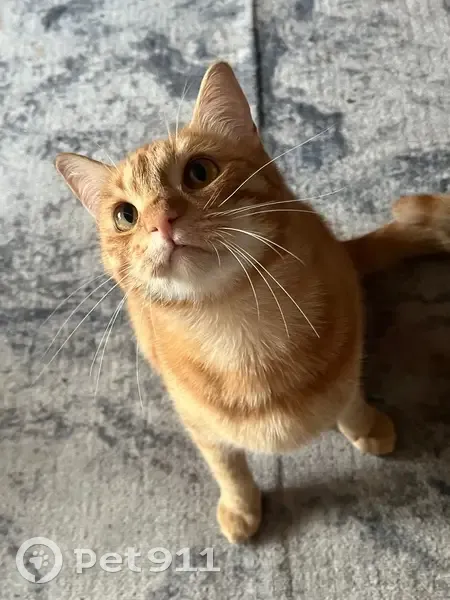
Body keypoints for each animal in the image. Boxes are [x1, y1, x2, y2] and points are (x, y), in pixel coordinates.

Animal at [55, 62, 450, 543]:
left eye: (199, 172)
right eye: (125, 216)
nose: (161, 220)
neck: (237, 328)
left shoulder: (348, 358)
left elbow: (350, 399)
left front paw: (366, 425)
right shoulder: (199, 425)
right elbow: (228, 468)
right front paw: (241, 507)